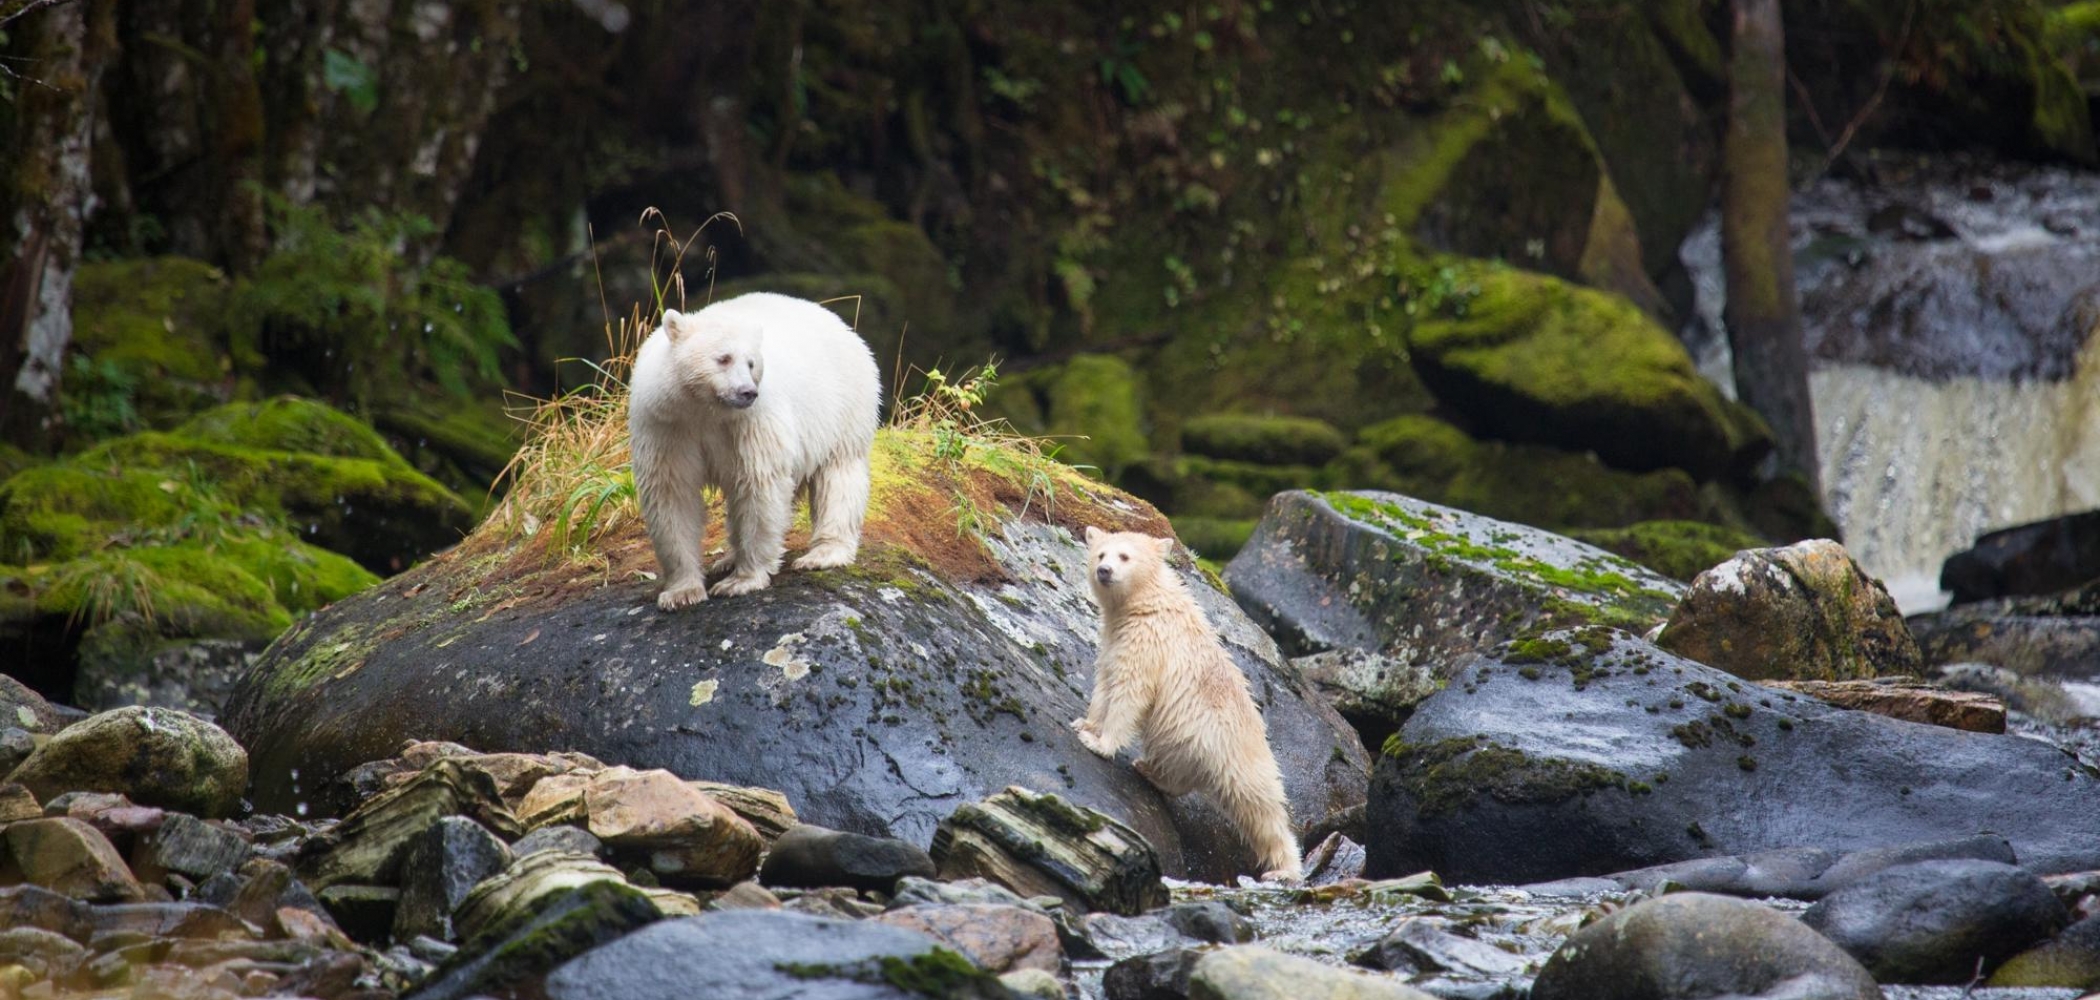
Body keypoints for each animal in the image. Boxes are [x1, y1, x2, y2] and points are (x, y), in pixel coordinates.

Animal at [625, 292, 881, 609]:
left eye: (751, 363)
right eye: (723, 358)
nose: (747, 392)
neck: (704, 408)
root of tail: (841, 325)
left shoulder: (749, 423)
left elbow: (758, 484)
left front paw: (740, 581)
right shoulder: (666, 424)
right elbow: (671, 493)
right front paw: (681, 592)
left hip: (842, 405)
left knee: (838, 476)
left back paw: (823, 554)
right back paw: (726, 559)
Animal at [1075, 527, 1302, 878]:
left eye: (1124, 556)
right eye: (1100, 554)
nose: (1104, 571)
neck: (1148, 603)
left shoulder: (1148, 643)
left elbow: (1130, 692)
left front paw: (1099, 743)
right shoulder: (1116, 638)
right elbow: (1105, 682)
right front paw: (1085, 724)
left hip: (1236, 750)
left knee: (1261, 808)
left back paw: (1284, 869)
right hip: (1186, 742)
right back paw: (1149, 769)